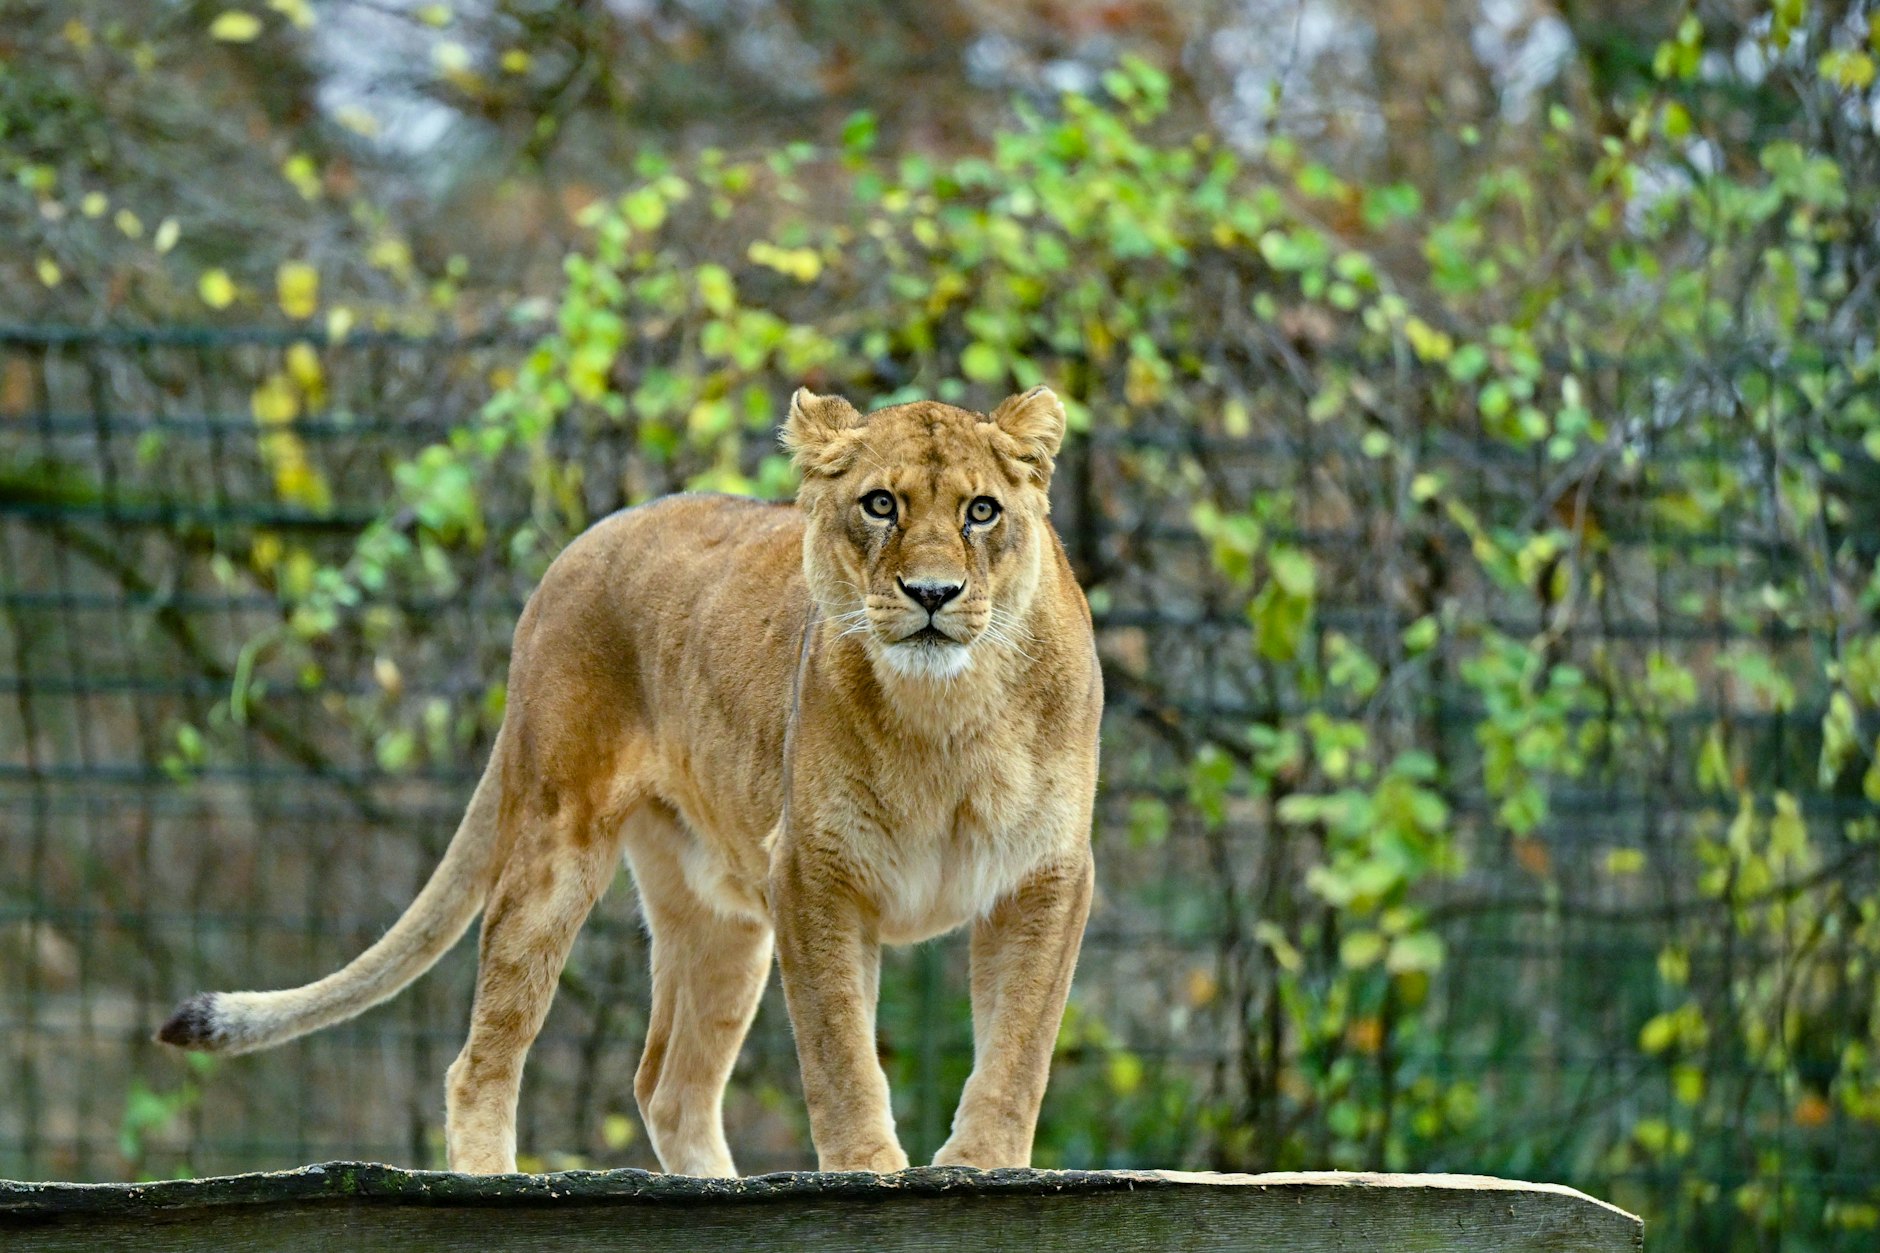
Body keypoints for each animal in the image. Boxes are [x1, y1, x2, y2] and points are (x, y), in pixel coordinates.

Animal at [158, 386, 1103, 1178]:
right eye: (881, 504)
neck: (947, 716)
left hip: (721, 917)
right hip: (558, 840)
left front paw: (982, 1164)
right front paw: (867, 1168)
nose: (933, 593)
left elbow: (1019, 1040)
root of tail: (577, 547)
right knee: (485, 1054)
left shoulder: (1046, 873)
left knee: (669, 1084)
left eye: (981, 510)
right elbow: (840, 1048)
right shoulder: (814, 871)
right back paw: (491, 1179)